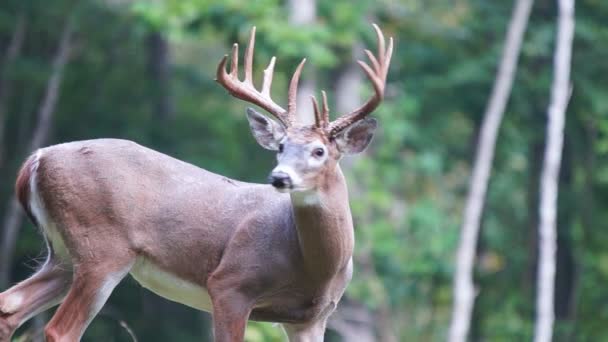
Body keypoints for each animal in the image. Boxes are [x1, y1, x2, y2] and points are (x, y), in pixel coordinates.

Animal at [0, 24, 394, 342]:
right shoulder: (230, 283)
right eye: (281, 146)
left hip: (65, 254)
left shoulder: (311, 318)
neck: (314, 267)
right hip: (102, 247)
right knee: (60, 329)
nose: (279, 177)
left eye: (318, 151)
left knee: (9, 306)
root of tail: (36, 159)